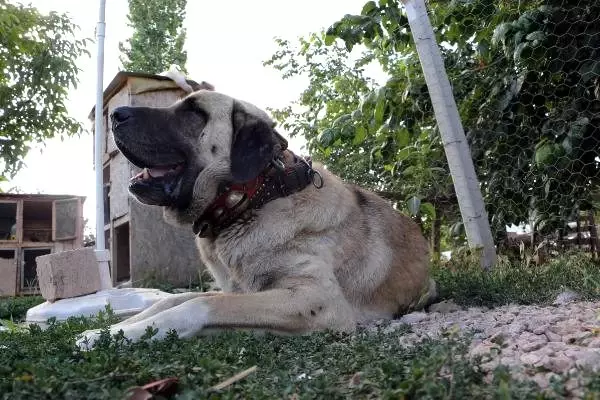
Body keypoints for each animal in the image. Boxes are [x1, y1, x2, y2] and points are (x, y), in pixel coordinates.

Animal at [76, 89, 436, 348]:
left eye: (193, 113)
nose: (116, 115)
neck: (254, 199)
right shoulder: (240, 290)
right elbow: (174, 300)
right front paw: (106, 330)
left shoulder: (317, 299)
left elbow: (199, 305)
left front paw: (123, 334)